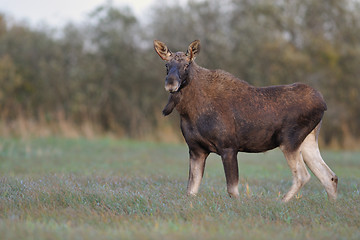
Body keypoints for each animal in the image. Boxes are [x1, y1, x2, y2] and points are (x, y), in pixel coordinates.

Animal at [154, 39, 338, 202]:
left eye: (187, 65)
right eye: (166, 66)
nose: (171, 84)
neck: (189, 111)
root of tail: (323, 104)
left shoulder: (228, 147)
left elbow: (232, 190)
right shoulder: (196, 150)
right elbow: (191, 190)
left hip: (289, 140)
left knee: (303, 175)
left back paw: (282, 201)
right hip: (308, 141)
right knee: (330, 176)